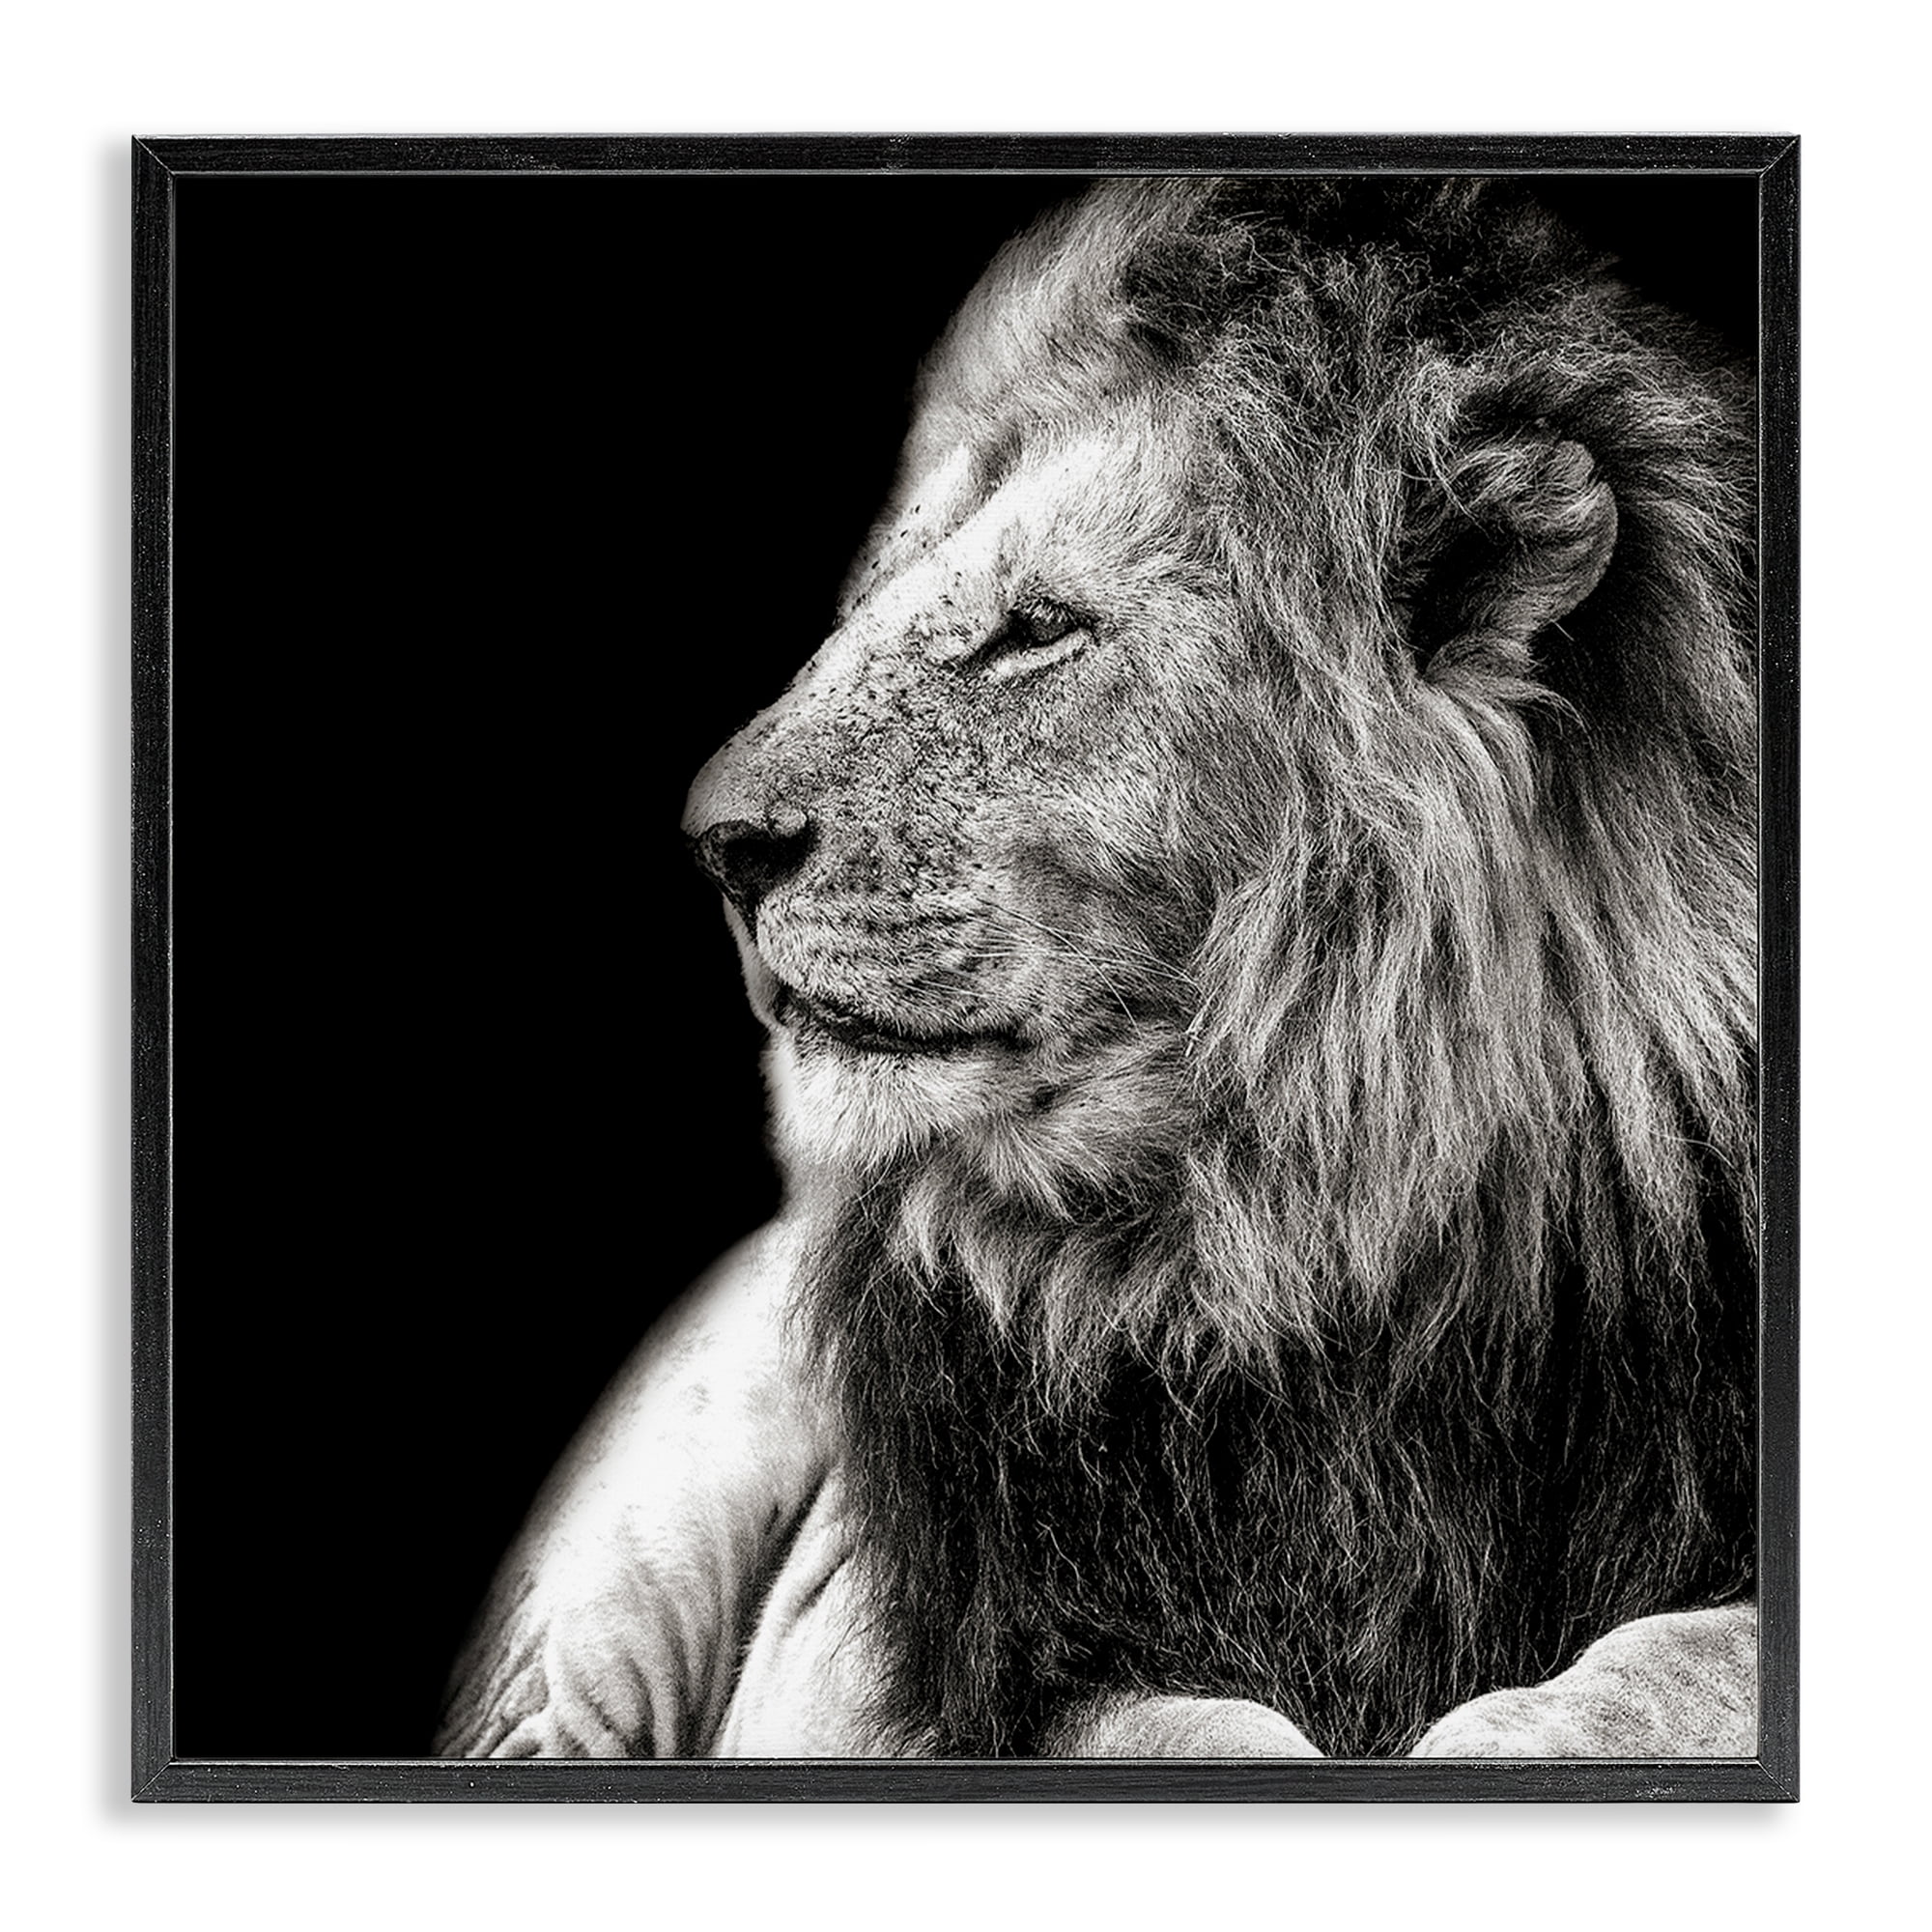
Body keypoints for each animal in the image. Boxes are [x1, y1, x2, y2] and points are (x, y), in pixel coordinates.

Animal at [437, 177, 1759, 1761]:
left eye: (1036, 630)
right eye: (870, 605)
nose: (717, 845)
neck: (1311, 1237)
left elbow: (1681, 1655)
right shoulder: (991, 1659)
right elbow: (1187, 1732)